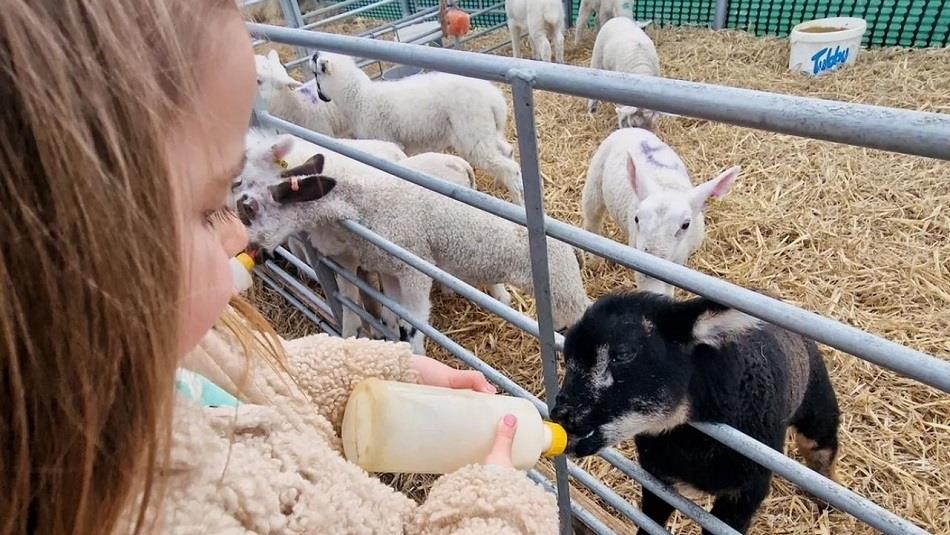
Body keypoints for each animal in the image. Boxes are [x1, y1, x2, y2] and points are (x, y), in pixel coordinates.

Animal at [237, 147, 592, 356]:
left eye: (250, 208)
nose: (252, 251)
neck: (366, 203)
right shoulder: (390, 269)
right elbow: (392, 316)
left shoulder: (414, 267)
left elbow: (414, 323)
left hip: (563, 293)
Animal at [308, 52, 528, 206]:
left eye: (317, 74)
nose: (321, 97)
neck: (358, 97)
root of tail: (494, 99)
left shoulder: (386, 139)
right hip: (488, 130)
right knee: (508, 152)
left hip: (473, 131)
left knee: (508, 167)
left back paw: (518, 203)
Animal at [580, 129, 744, 298]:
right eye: (637, 219)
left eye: (685, 225)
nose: (649, 267)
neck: (667, 186)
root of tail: (631, 129)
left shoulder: (679, 260)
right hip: (594, 182)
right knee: (592, 220)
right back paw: (595, 262)